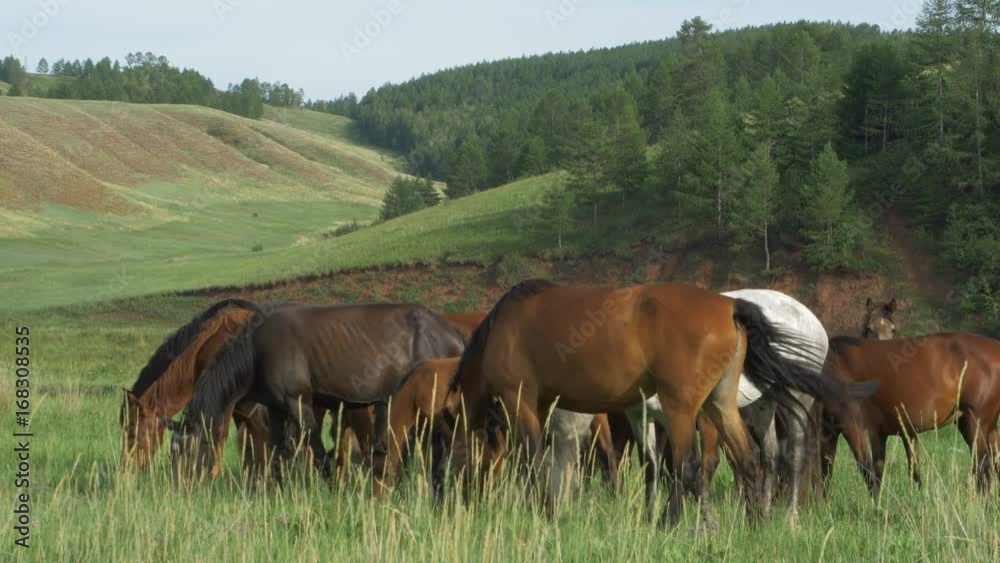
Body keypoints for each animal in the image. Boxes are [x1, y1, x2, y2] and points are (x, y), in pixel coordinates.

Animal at [168, 303, 466, 481]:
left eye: (186, 450)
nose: (179, 487)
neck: (256, 351)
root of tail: (454, 331)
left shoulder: (299, 403)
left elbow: (319, 453)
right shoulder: (276, 410)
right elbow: (278, 452)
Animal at [447, 280, 876, 526]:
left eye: (448, 447)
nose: (454, 497)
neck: (503, 327)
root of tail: (730, 308)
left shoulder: (521, 400)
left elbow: (534, 460)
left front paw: (544, 511)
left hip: (690, 407)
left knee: (714, 464)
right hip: (726, 405)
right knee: (752, 459)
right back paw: (755, 521)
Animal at [818, 332, 1000, 497]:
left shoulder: (850, 425)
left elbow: (866, 470)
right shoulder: (873, 432)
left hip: (974, 422)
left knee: (984, 469)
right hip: (986, 427)